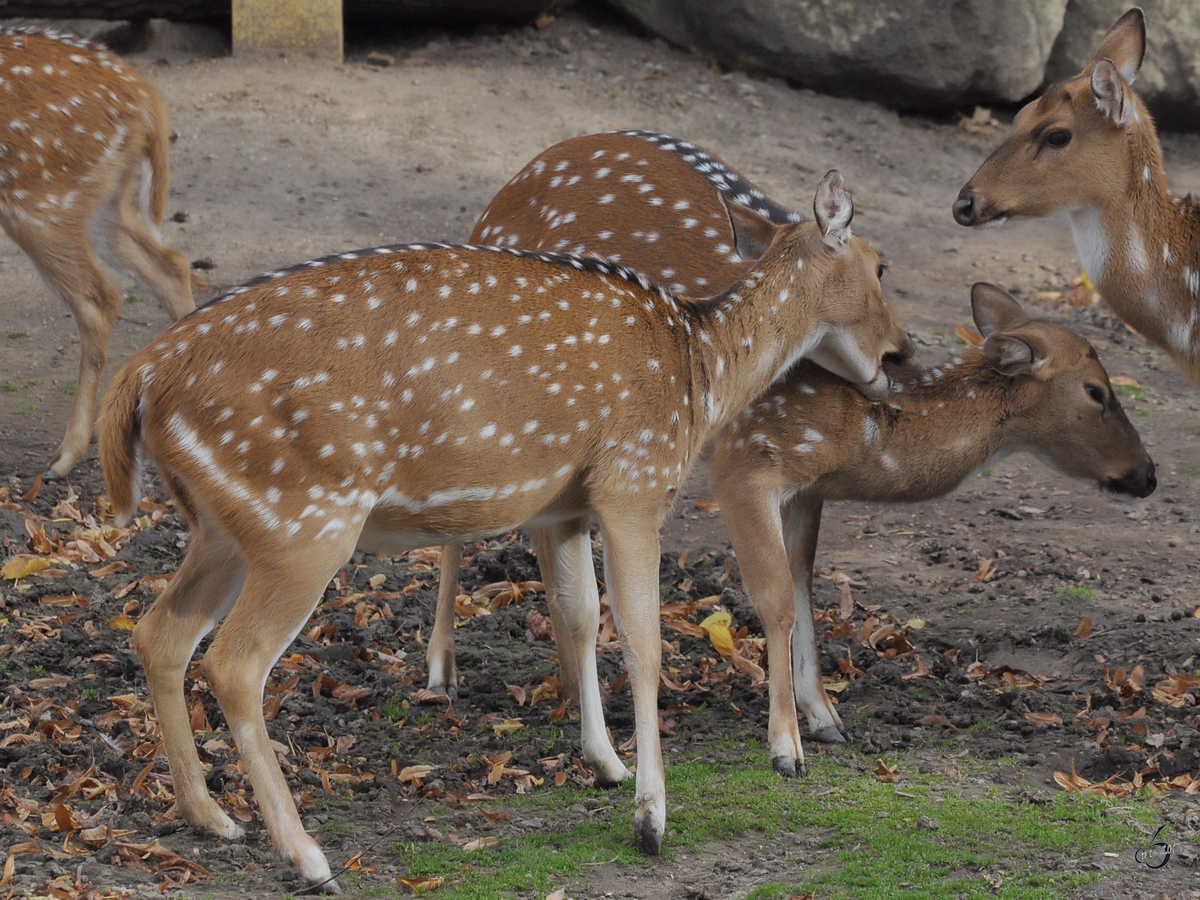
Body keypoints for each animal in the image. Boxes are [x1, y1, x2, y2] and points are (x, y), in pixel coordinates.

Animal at [0, 26, 194, 480]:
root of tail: (144, 94)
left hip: (41, 197)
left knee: (99, 300)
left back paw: (65, 455)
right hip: (102, 197)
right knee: (171, 266)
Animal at [100, 172, 907, 892]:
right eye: (879, 264)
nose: (898, 354)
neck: (699, 373)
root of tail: (139, 377)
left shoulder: (563, 507)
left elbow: (578, 618)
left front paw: (606, 765)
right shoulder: (634, 480)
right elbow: (643, 642)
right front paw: (654, 817)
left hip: (225, 527)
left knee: (159, 633)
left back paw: (212, 818)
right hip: (304, 519)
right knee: (234, 663)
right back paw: (307, 857)